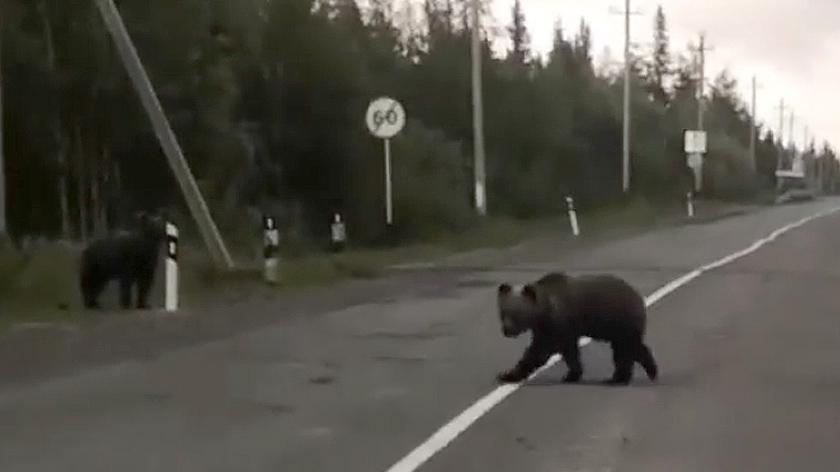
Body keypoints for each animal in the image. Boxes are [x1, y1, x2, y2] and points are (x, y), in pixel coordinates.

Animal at [496, 272, 660, 386]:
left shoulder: (559, 324)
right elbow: (569, 352)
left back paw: (622, 378)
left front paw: (507, 375)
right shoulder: (548, 327)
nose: (507, 330)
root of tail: (637, 295)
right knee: (627, 349)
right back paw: (639, 373)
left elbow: (539, 351)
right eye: (503, 312)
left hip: (622, 321)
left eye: (517, 313)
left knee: (627, 349)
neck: (544, 311)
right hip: (619, 328)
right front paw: (572, 375)